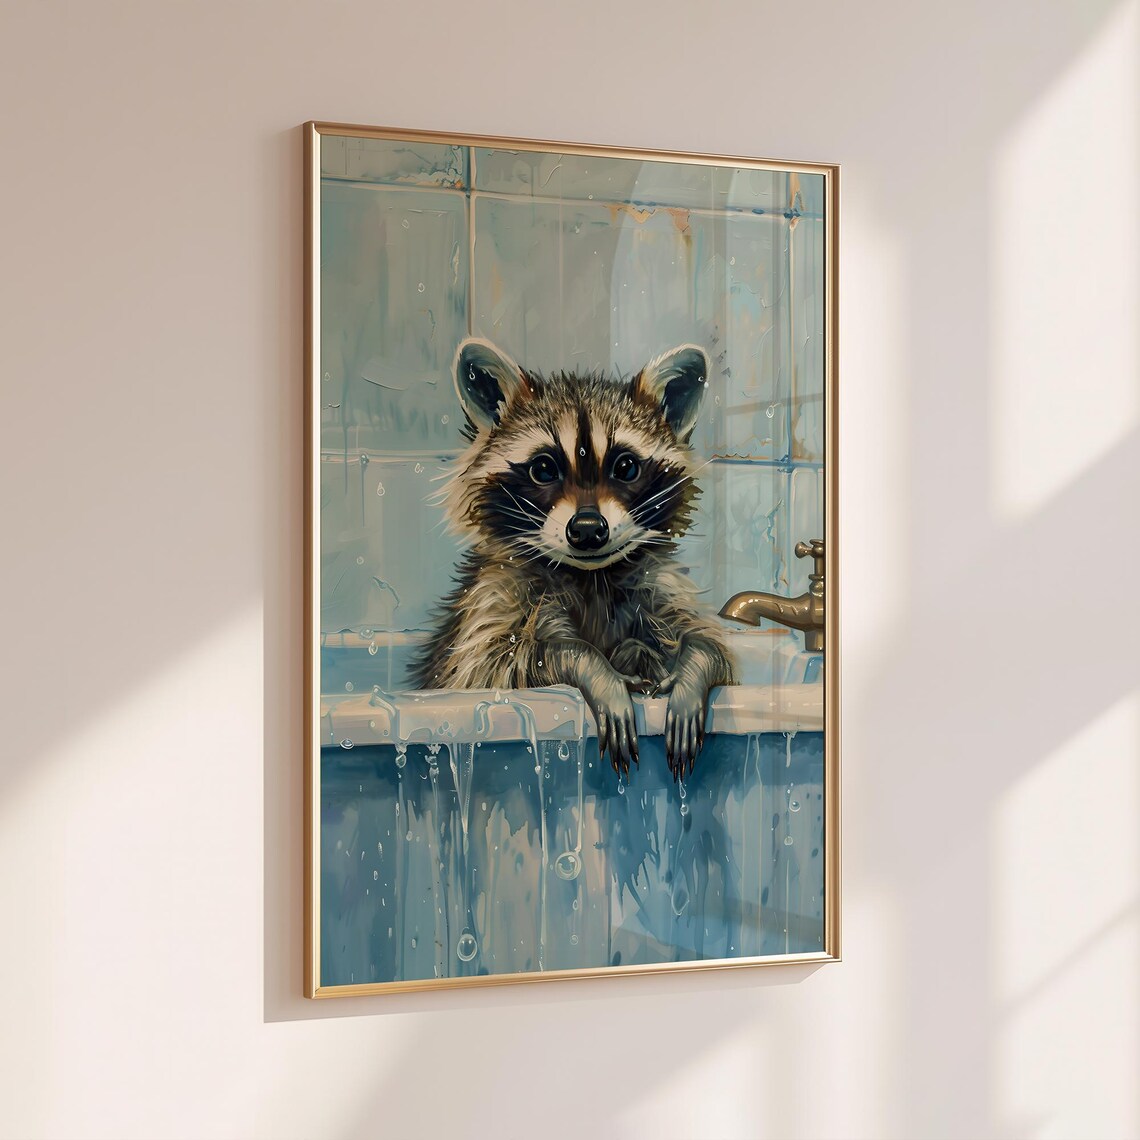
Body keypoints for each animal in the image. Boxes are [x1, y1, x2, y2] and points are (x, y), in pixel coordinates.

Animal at [410, 338, 735, 779]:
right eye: (544, 469)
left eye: (626, 466)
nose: (587, 529)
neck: (590, 575)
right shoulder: (493, 602)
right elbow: (498, 666)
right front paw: (594, 667)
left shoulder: (657, 588)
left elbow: (712, 647)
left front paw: (689, 669)